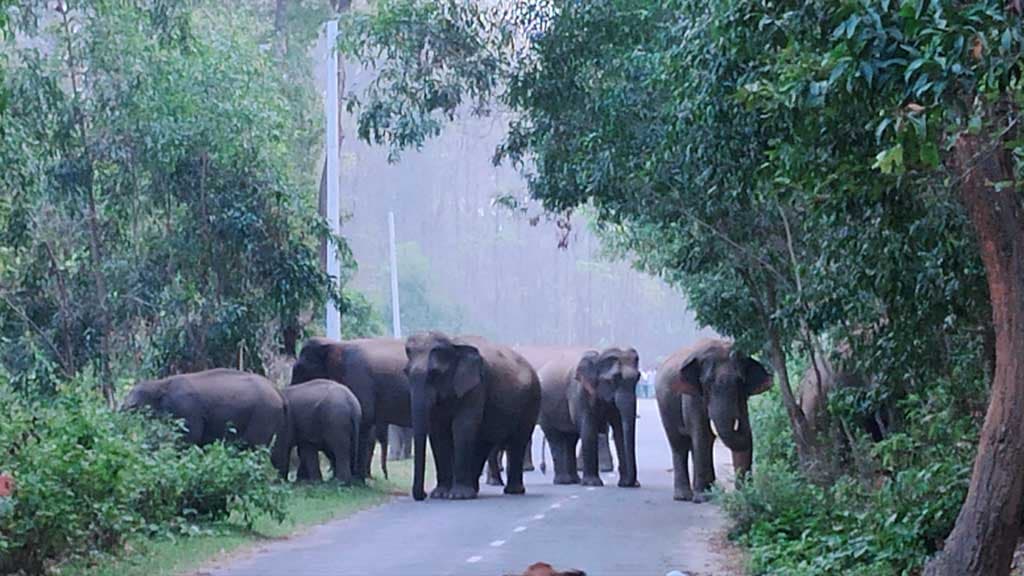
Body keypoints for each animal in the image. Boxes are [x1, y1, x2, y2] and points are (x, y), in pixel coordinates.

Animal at [290, 336, 409, 479]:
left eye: (299, 369)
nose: (386, 476)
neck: (336, 344)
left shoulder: (357, 378)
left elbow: (363, 418)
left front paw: (355, 478)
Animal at [403, 330, 544, 500]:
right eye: (405, 373)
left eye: (435, 373)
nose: (423, 494)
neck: (453, 344)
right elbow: (438, 431)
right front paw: (440, 494)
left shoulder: (476, 386)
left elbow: (463, 427)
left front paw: (458, 496)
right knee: (484, 441)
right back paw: (475, 489)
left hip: (532, 399)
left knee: (518, 440)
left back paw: (512, 491)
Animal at [520, 344, 638, 483]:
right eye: (614, 378)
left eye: (638, 378)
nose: (632, 483)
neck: (598, 355)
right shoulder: (578, 392)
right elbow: (589, 429)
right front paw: (593, 482)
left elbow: (619, 430)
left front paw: (625, 484)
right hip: (544, 409)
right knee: (555, 438)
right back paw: (562, 481)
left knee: (571, 439)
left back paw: (573, 479)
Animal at [655, 338, 770, 500]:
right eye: (707, 383)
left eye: (740, 381)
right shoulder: (692, 395)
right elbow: (702, 435)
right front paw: (702, 497)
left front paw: (746, 496)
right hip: (664, 406)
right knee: (679, 443)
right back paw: (684, 496)